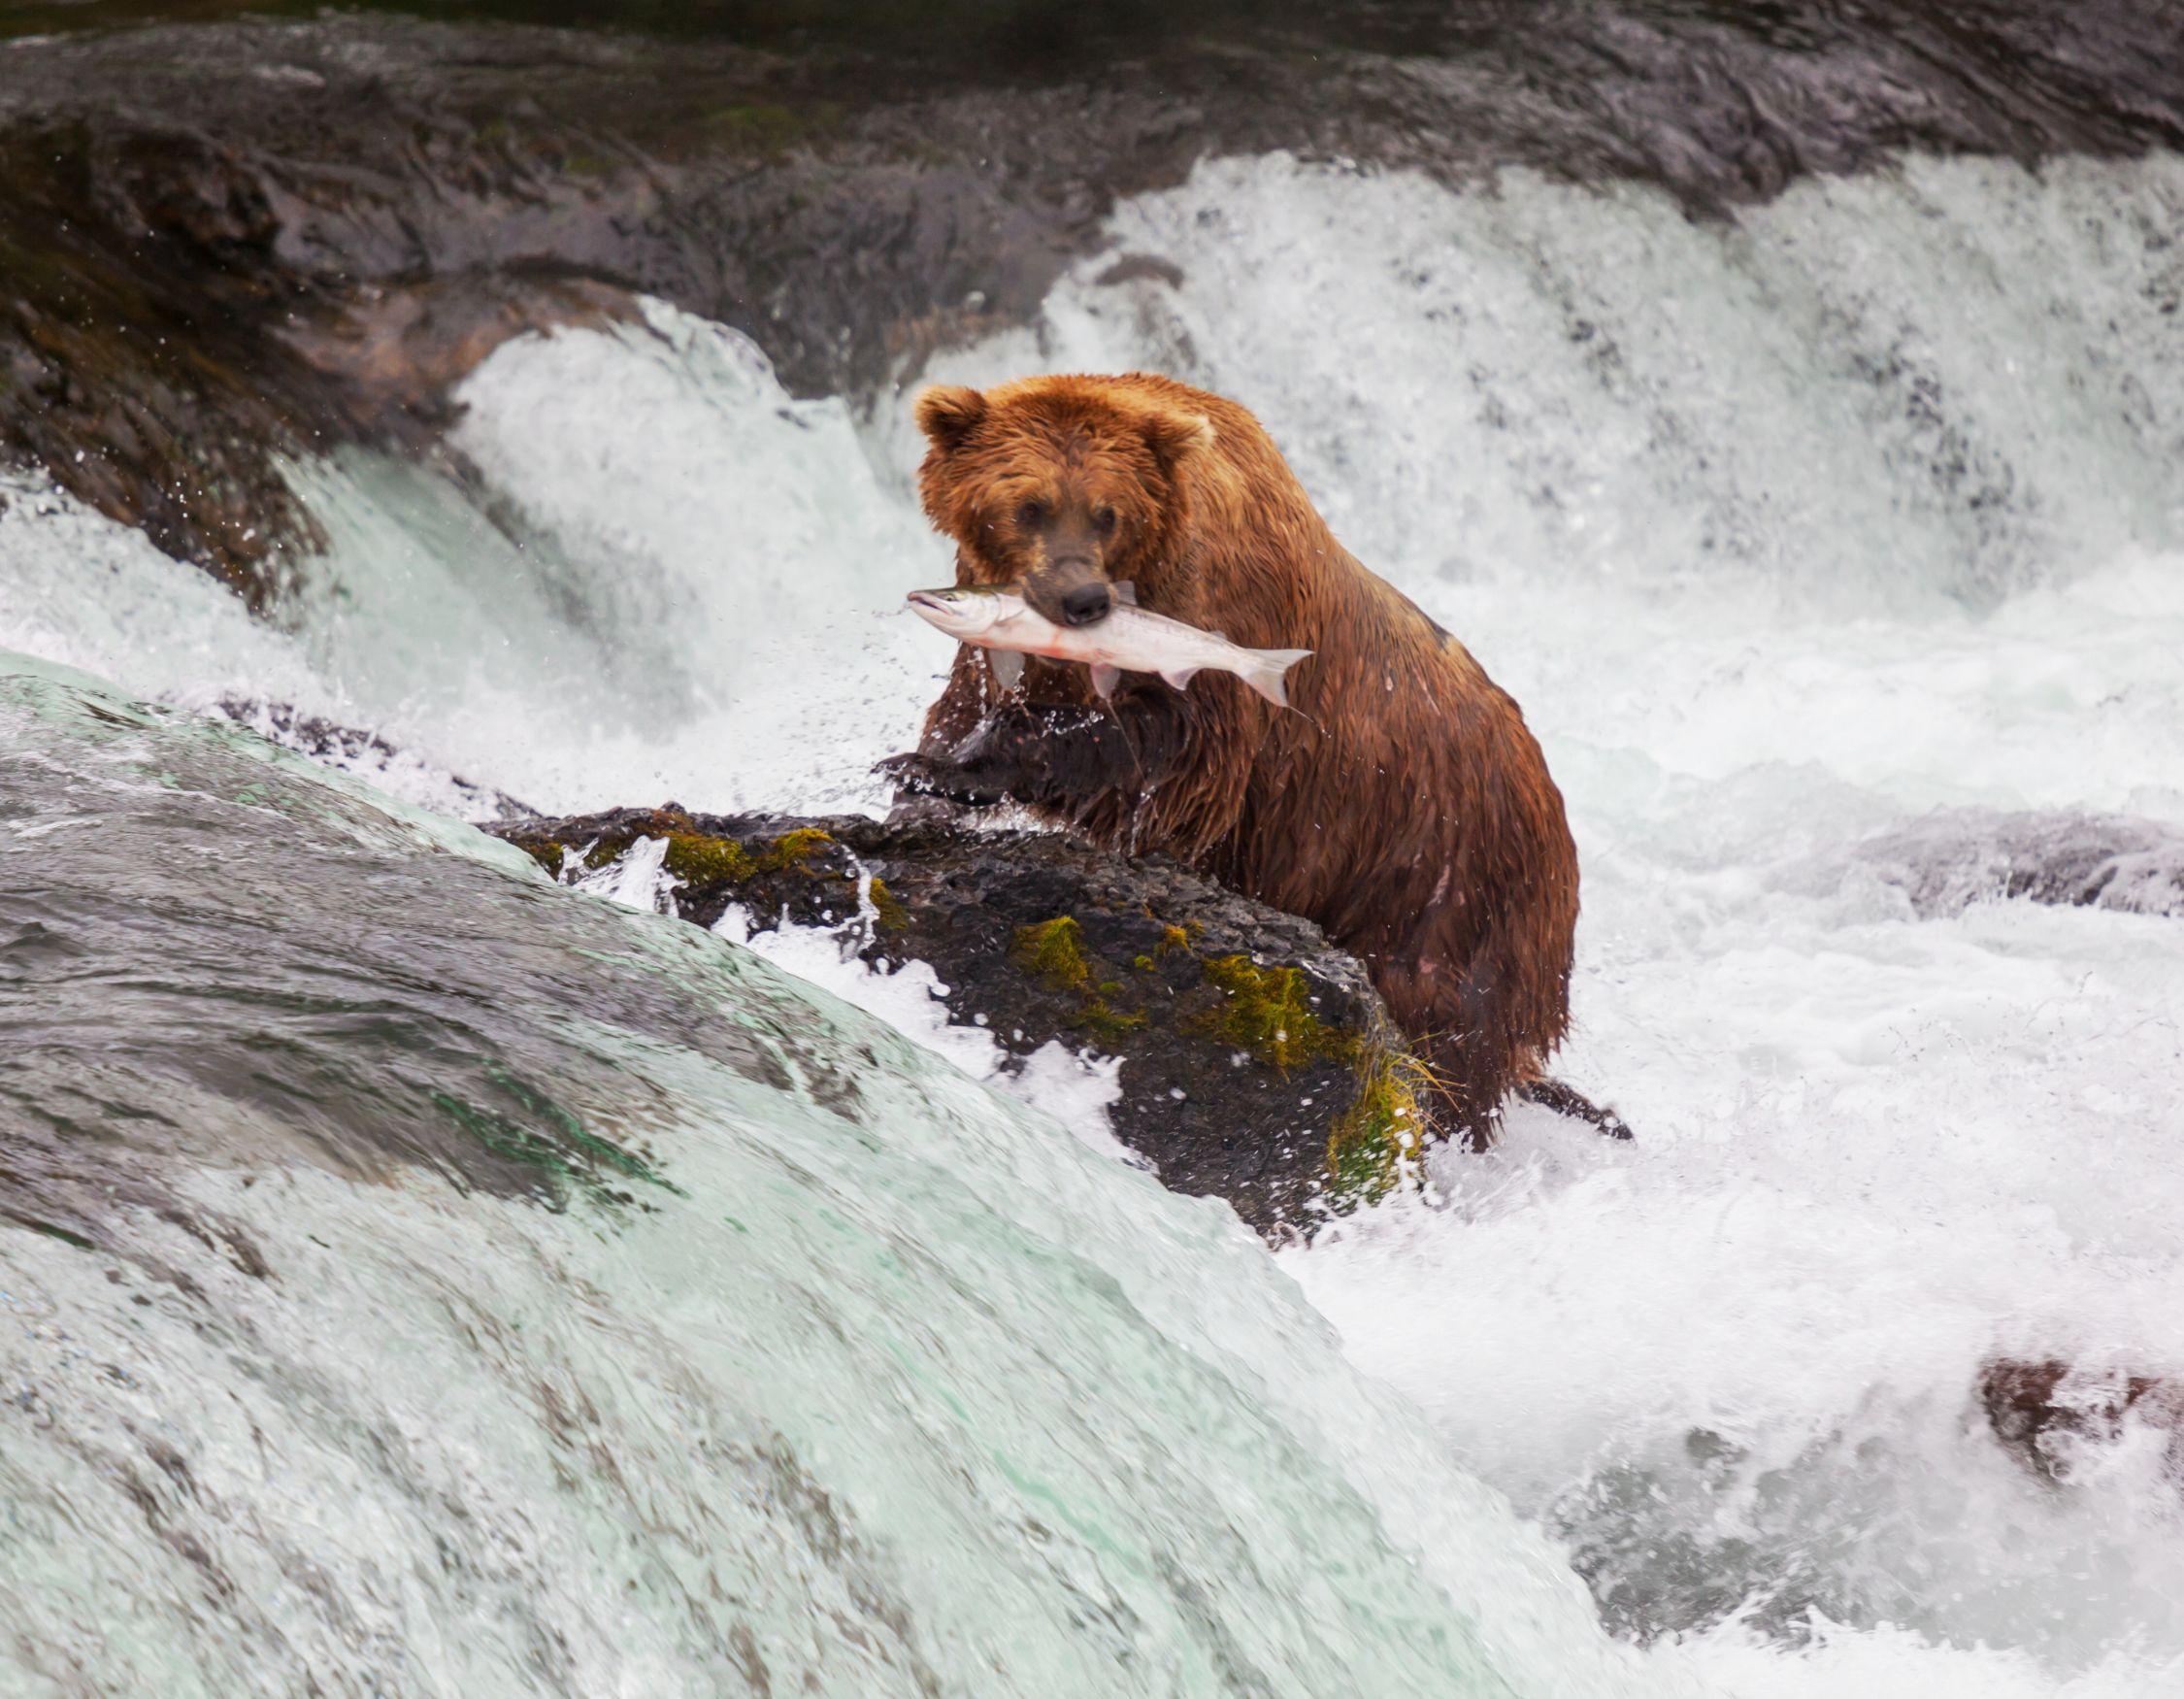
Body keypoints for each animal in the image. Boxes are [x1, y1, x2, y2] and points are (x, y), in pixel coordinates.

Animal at [882, 371, 1585, 1147]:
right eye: (1028, 504)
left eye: (1107, 513)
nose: (1083, 600)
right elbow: (963, 704)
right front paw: (920, 780)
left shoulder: (1220, 632)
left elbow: (1162, 749)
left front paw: (956, 769)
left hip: (1448, 889)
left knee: (1446, 1045)